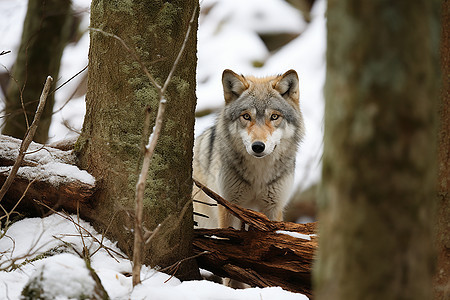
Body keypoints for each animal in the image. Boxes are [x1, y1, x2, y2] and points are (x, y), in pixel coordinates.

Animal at [192, 69, 304, 229]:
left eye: (274, 116)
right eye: (246, 116)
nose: (258, 146)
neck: (259, 174)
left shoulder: (273, 207)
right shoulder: (228, 206)